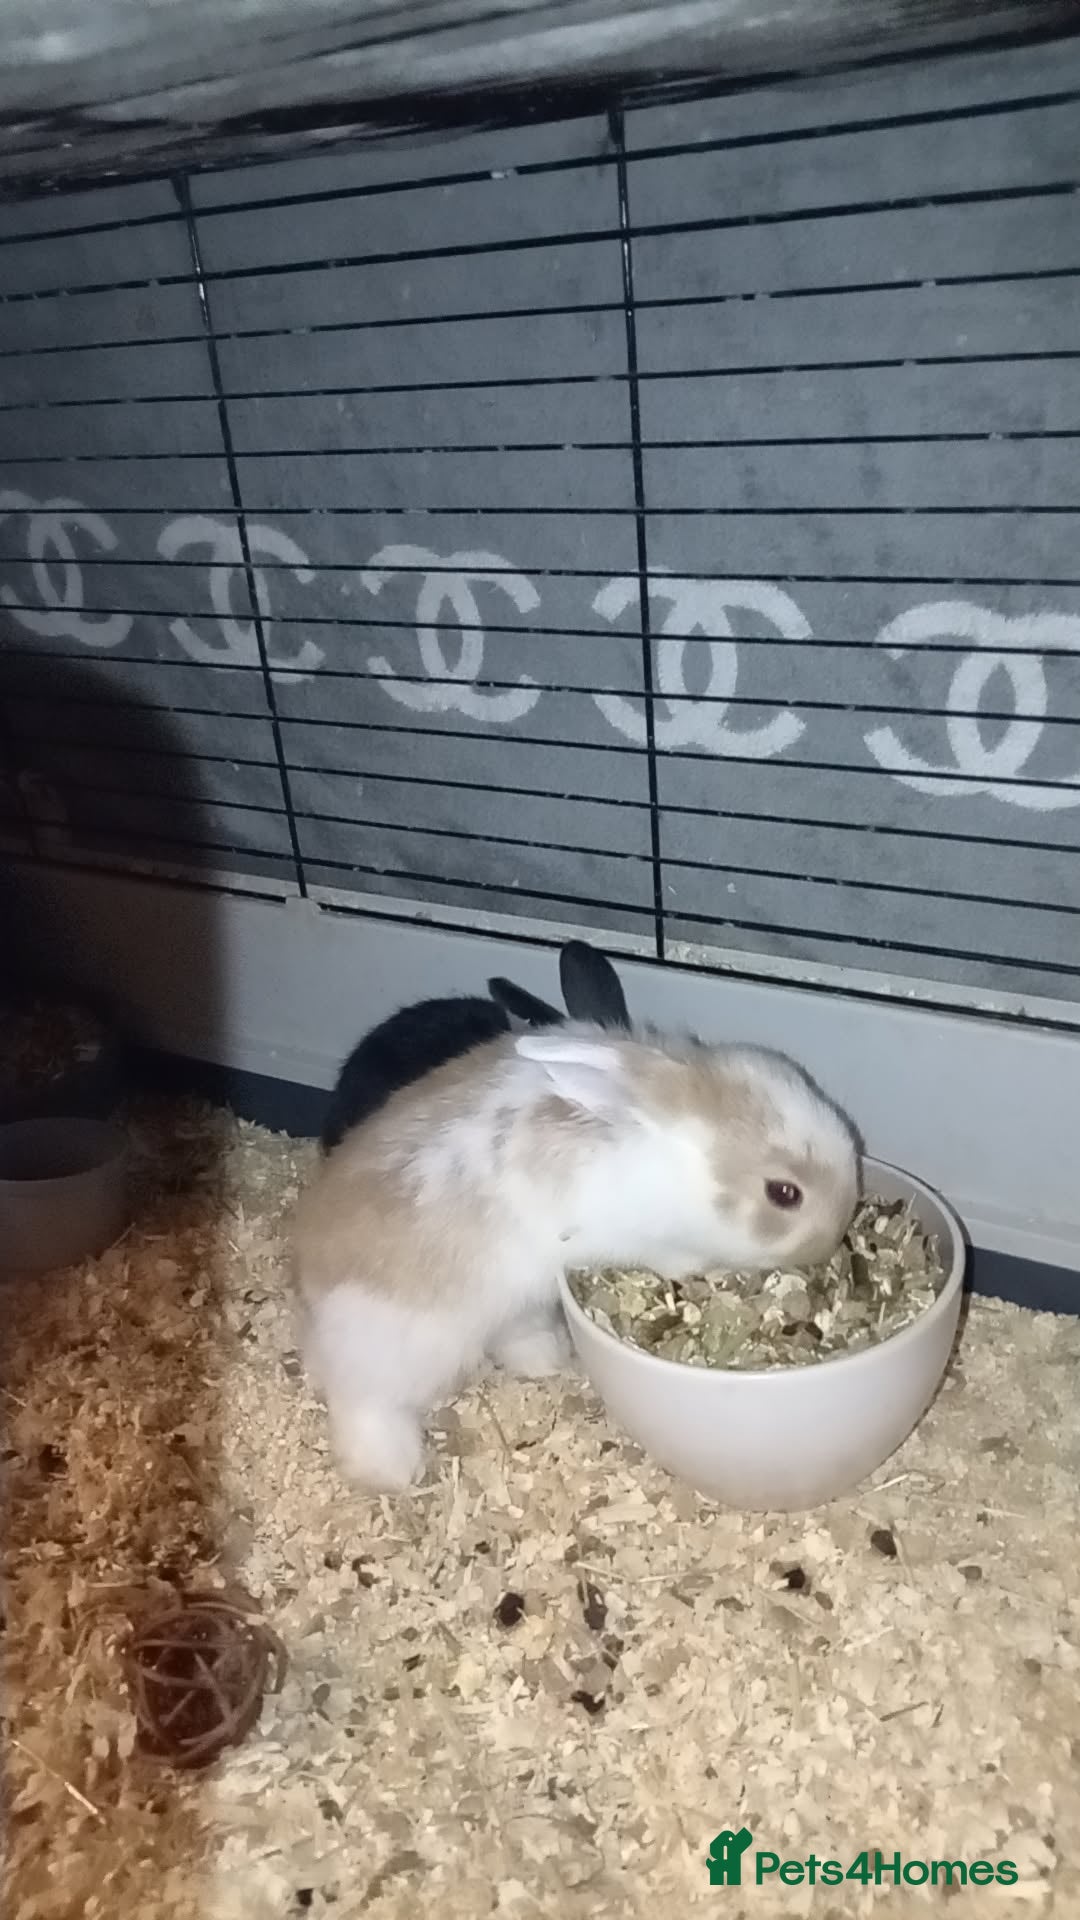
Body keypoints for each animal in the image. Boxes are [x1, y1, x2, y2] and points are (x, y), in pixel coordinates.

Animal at [292, 1021, 860, 1493]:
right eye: (784, 1194)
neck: (688, 1163)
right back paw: (391, 1472)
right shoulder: (649, 1240)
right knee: (364, 1401)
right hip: (401, 1348)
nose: (834, 1235)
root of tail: (309, 1290)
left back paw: (548, 1361)